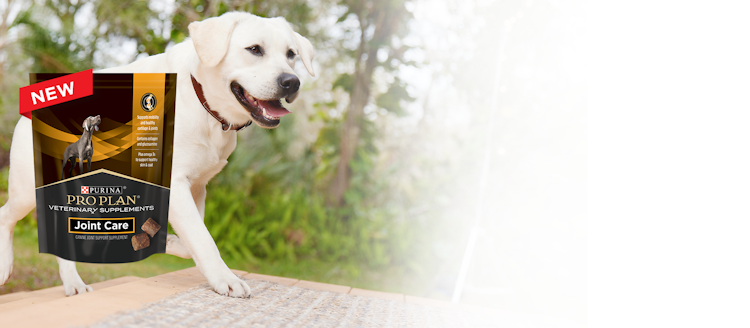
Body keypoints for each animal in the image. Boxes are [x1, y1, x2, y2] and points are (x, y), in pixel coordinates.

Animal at [0, 12, 314, 298]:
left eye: (291, 55)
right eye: (254, 49)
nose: (291, 82)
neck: (201, 99)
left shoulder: (196, 187)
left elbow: (193, 239)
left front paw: (169, 242)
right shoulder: (176, 185)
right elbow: (204, 239)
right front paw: (226, 279)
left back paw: (74, 283)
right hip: (29, 192)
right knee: (6, 215)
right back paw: (7, 268)